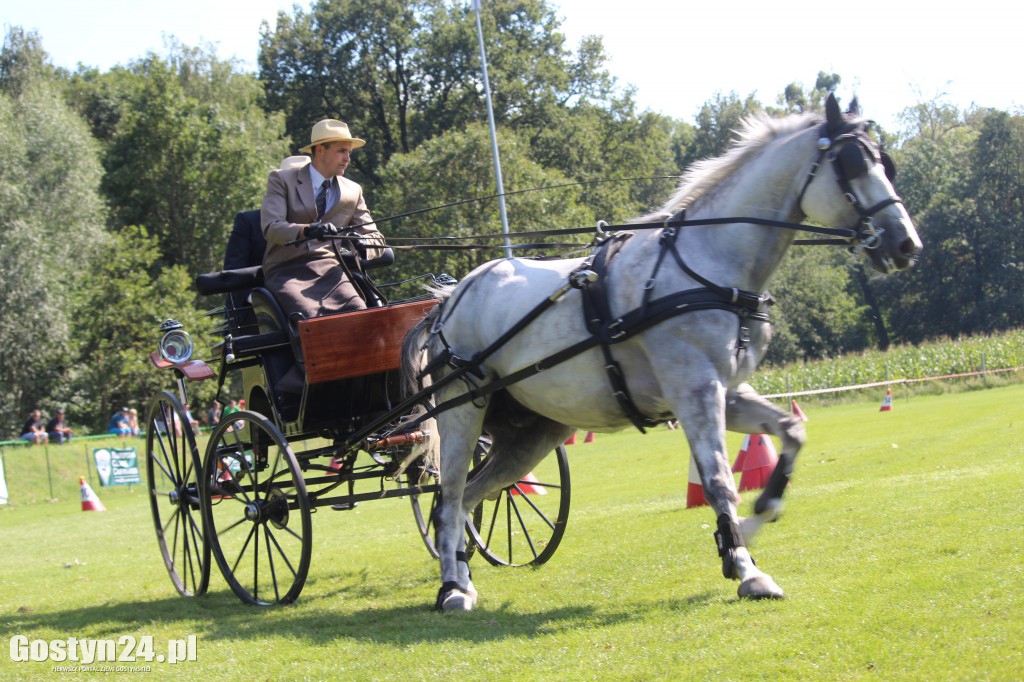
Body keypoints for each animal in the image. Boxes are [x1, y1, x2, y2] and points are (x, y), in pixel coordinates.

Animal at [399, 93, 921, 606]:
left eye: (885, 163)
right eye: (851, 163)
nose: (906, 244)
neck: (709, 265)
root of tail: (448, 300)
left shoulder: (726, 392)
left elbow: (791, 433)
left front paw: (748, 529)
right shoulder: (695, 392)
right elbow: (719, 481)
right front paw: (746, 567)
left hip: (534, 432)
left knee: (470, 497)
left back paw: (462, 576)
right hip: (462, 409)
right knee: (449, 499)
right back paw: (452, 589)